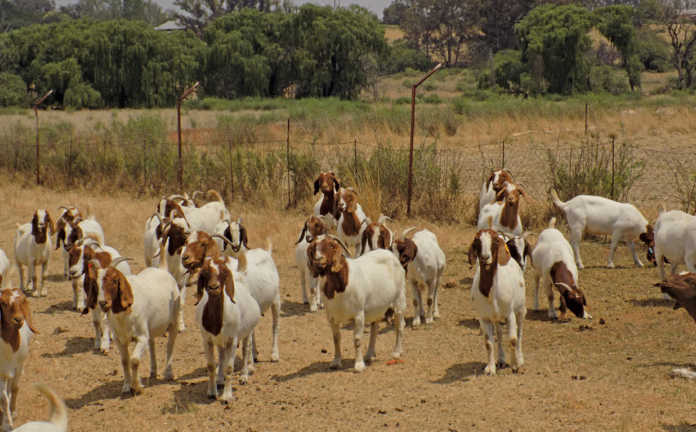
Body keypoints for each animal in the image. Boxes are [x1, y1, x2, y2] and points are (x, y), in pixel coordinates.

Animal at [0, 288, 38, 430]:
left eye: (22, 302)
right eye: (3, 303)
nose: (18, 319)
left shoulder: (20, 365)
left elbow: (15, 388)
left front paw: (13, 412)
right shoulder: (1, 372)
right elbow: (3, 398)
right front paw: (7, 424)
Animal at [95, 256, 180, 395]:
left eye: (114, 281)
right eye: (97, 283)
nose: (103, 303)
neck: (125, 314)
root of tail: (162, 268)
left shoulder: (141, 337)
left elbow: (134, 360)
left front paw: (137, 387)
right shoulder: (119, 339)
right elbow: (125, 361)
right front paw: (126, 386)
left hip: (174, 319)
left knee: (170, 345)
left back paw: (168, 373)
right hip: (150, 329)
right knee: (152, 344)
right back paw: (153, 371)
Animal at [196, 255, 261, 401]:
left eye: (223, 273)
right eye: (205, 273)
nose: (214, 287)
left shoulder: (232, 340)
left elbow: (229, 368)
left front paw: (226, 396)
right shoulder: (206, 340)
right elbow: (211, 366)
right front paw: (212, 392)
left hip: (248, 332)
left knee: (246, 350)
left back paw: (244, 376)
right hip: (220, 341)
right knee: (221, 354)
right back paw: (220, 380)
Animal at [307, 236, 406, 372]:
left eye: (331, 245)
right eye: (313, 247)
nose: (318, 260)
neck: (341, 285)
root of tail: (390, 254)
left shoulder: (358, 315)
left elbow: (357, 339)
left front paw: (358, 365)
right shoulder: (332, 317)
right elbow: (336, 338)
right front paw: (336, 362)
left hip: (399, 299)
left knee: (400, 326)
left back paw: (396, 352)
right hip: (377, 307)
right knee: (375, 329)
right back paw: (369, 355)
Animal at [468, 228, 526, 375]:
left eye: (494, 240)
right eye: (477, 240)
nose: (485, 257)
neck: (490, 292)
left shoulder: (510, 314)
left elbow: (512, 339)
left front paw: (515, 365)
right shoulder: (484, 317)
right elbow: (488, 343)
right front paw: (490, 368)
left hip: (521, 309)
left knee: (520, 332)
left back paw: (520, 359)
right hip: (496, 317)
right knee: (499, 333)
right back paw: (501, 359)